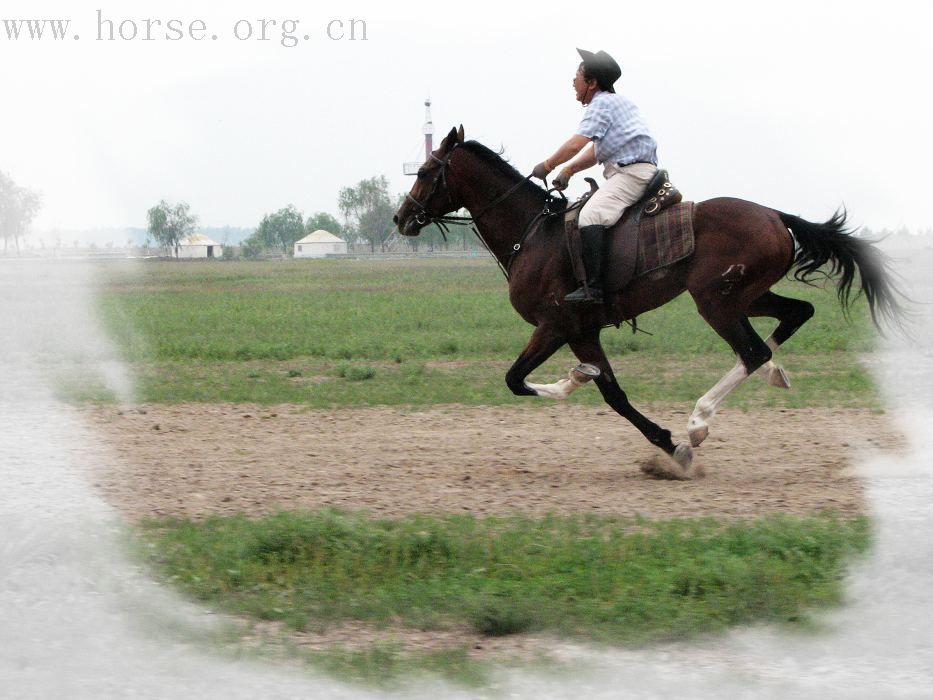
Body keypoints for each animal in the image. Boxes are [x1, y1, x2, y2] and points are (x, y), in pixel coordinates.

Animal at [392, 124, 904, 476]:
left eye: (425, 171)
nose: (401, 218)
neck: (534, 234)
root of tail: (775, 215)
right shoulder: (583, 331)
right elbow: (614, 394)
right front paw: (665, 443)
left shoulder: (556, 326)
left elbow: (517, 380)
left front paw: (576, 382)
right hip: (748, 296)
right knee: (795, 316)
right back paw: (770, 376)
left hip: (715, 301)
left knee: (753, 349)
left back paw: (700, 419)